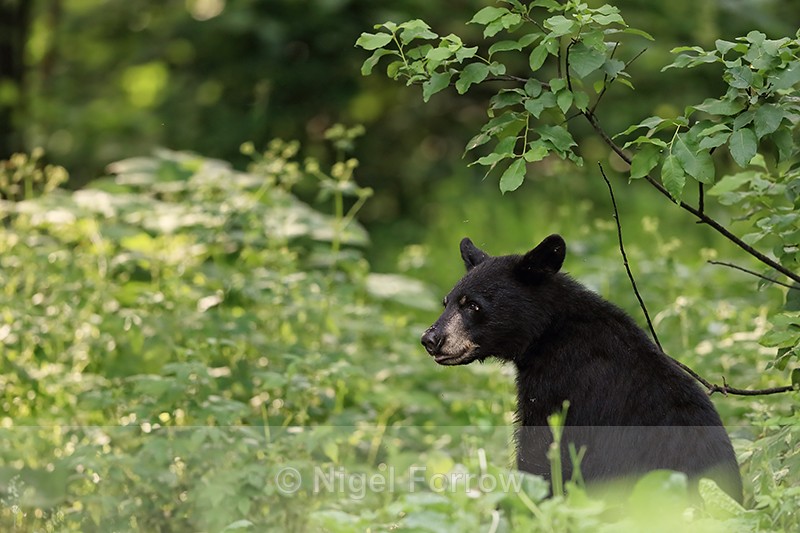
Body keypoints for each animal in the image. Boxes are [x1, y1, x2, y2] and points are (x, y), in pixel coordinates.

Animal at [420, 234, 743, 502]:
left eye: (473, 305)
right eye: (447, 302)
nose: (430, 339)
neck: (549, 332)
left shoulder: (561, 385)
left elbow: (542, 453)